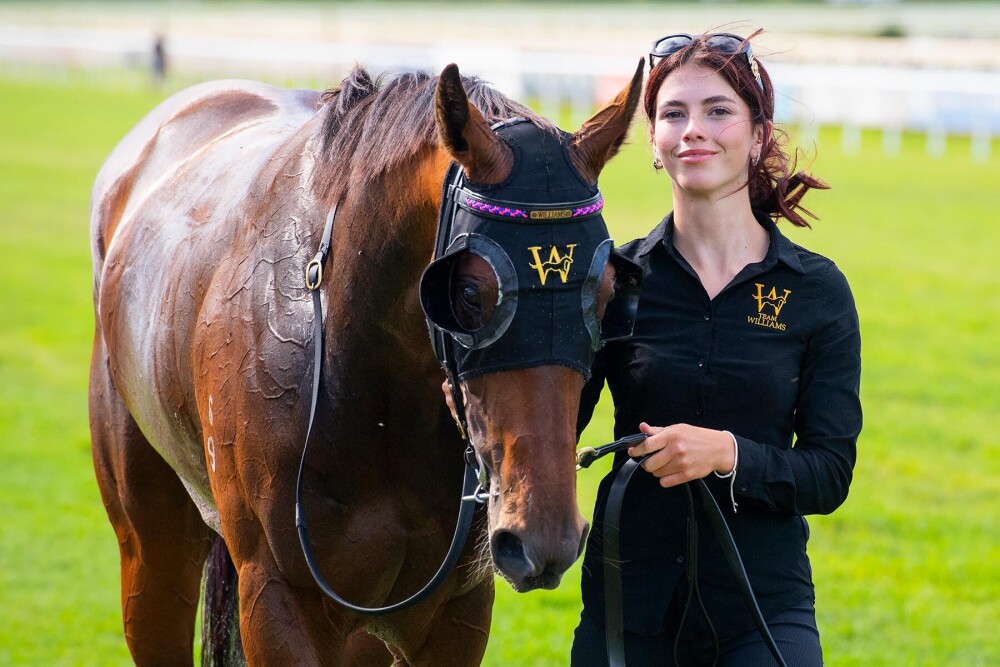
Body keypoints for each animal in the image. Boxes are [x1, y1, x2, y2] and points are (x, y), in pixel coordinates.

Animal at [88, 59, 642, 666]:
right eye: (470, 294)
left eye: (605, 293)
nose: (543, 537)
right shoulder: (275, 595)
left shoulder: (456, 607)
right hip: (151, 544)